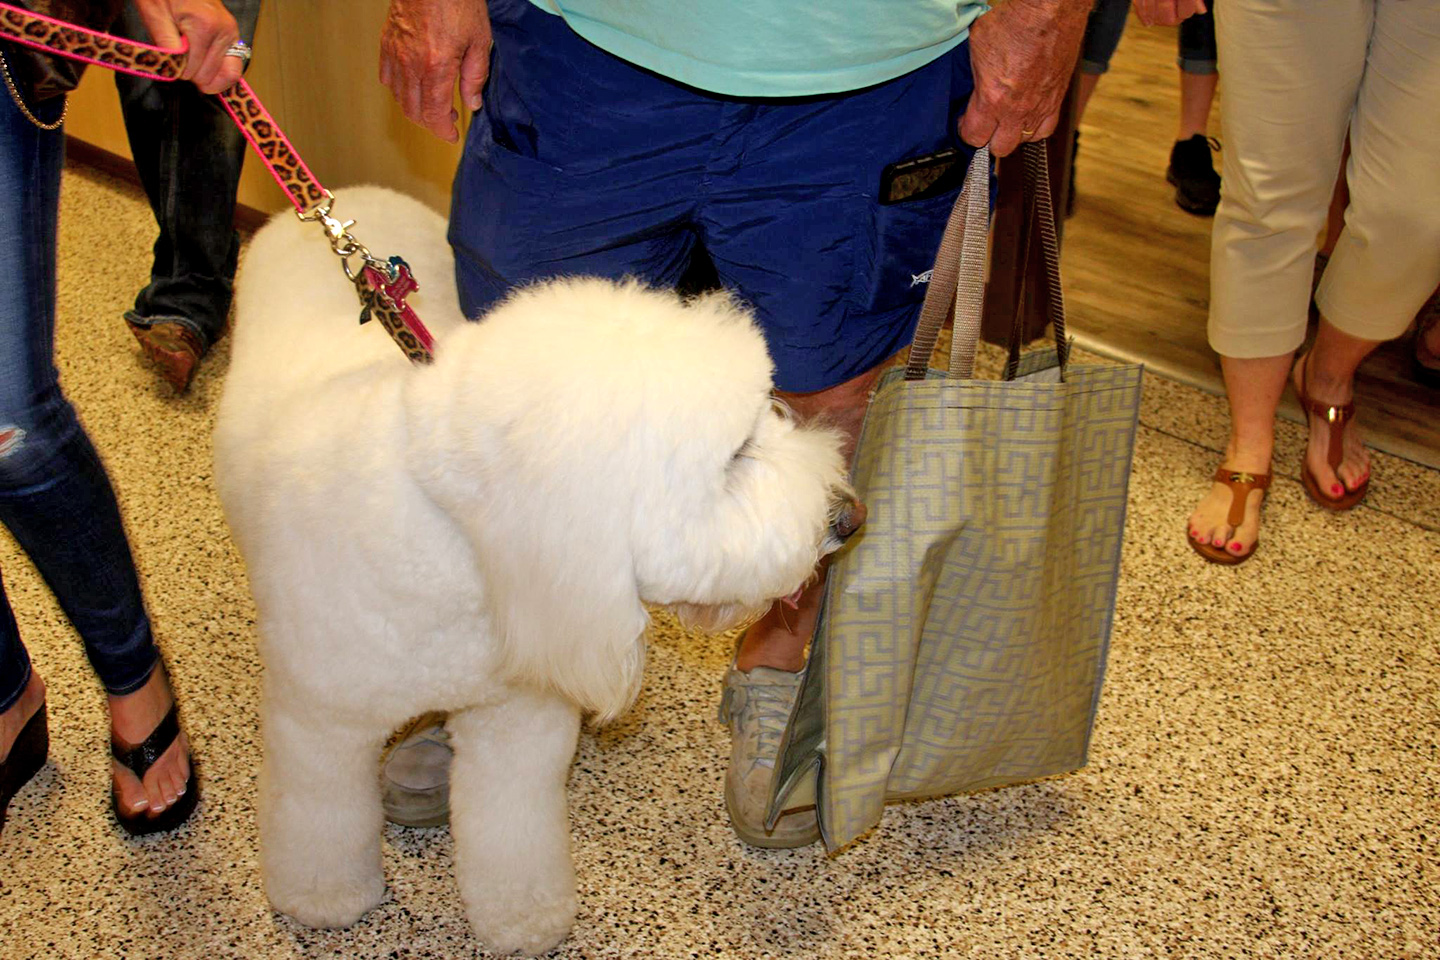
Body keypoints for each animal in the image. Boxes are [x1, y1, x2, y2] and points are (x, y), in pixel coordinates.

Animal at [213, 187, 858, 955]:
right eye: (733, 455)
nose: (849, 517)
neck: (459, 548)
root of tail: (340, 204)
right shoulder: (319, 724)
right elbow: (320, 816)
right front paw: (324, 897)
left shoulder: (515, 725)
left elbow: (511, 831)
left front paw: (523, 919)